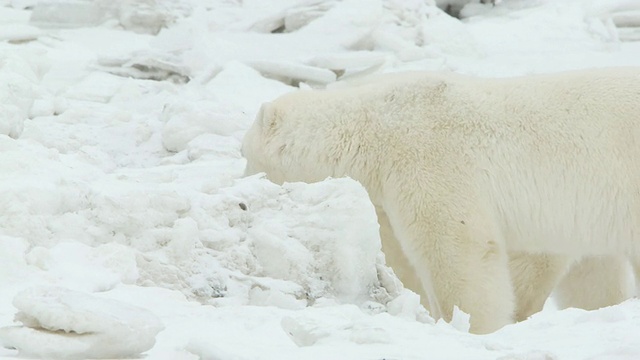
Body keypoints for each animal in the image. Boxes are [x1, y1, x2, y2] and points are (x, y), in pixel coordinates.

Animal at [241, 68, 640, 334]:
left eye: (244, 152)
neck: (374, 128)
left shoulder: (428, 159)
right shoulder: (385, 195)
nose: (242, 192)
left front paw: (467, 327)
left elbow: (458, 247)